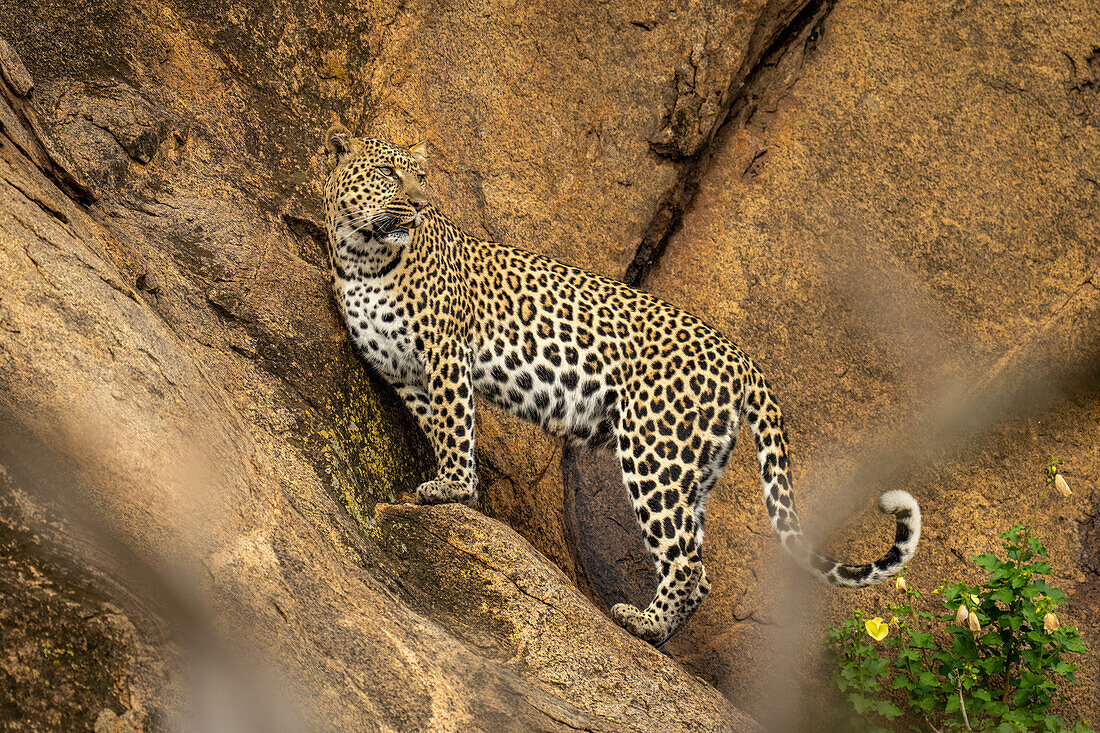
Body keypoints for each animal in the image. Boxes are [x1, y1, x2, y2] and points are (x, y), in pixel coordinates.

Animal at [321, 125, 919, 647]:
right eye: (389, 173)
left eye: (419, 175)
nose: (420, 204)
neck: (362, 256)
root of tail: (743, 359)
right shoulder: (402, 372)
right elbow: (440, 423)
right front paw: (459, 486)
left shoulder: (446, 354)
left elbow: (453, 424)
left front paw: (450, 488)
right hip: (694, 470)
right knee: (699, 568)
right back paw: (659, 637)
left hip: (655, 450)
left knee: (685, 561)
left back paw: (641, 624)